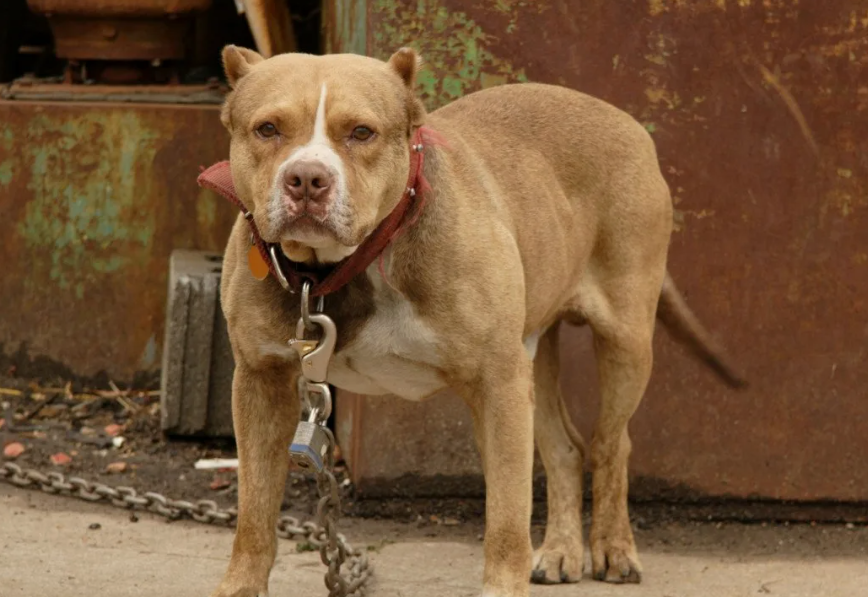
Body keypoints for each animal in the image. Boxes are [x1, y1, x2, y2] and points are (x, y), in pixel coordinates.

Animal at [209, 44, 740, 592]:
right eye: (267, 129)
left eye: (361, 132)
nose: (308, 179)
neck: (341, 269)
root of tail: (626, 121)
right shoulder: (261, 382)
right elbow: (254, 513)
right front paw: (241, 587)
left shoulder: (497, 382)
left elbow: (506, 516)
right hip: (535, 356)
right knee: (566, 449)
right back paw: (561, 550)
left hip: (624, 342)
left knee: (612, 444)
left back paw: (614, 548)